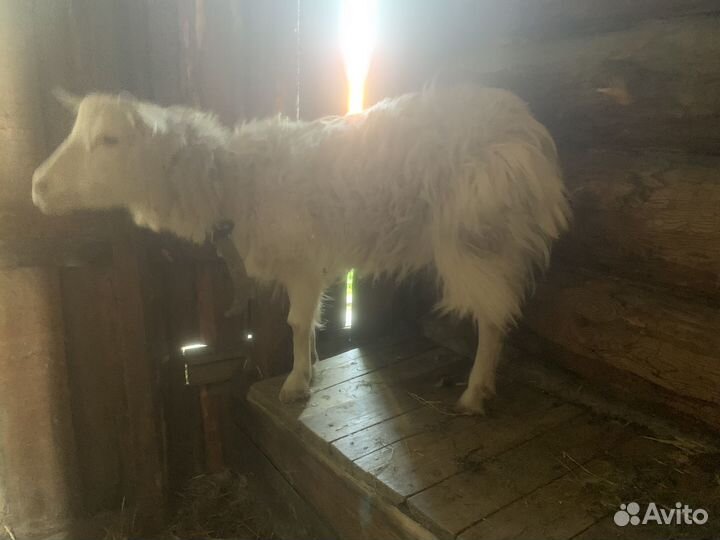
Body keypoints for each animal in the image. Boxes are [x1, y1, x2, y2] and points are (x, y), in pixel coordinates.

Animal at [32, 86, 570, 413]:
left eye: (109, 139)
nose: (37, 186)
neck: (234, 184)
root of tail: (529, 132)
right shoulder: (310, 266)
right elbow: (307, 323)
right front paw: (308, 366)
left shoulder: (304, 263)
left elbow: (293, 322)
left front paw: (294, 382)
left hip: (478, 239)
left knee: (495, 317)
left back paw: (476, 391)